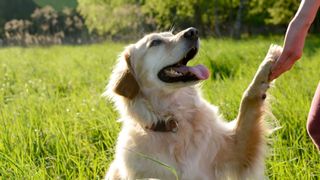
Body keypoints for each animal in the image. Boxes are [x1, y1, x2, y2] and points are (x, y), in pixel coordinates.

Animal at [104, 27, 282, 179]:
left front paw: (269, 61)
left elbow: (247, 100)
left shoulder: (236, 149)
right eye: (155, 42)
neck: (174, 123)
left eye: (171, 33)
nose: (193, 32)